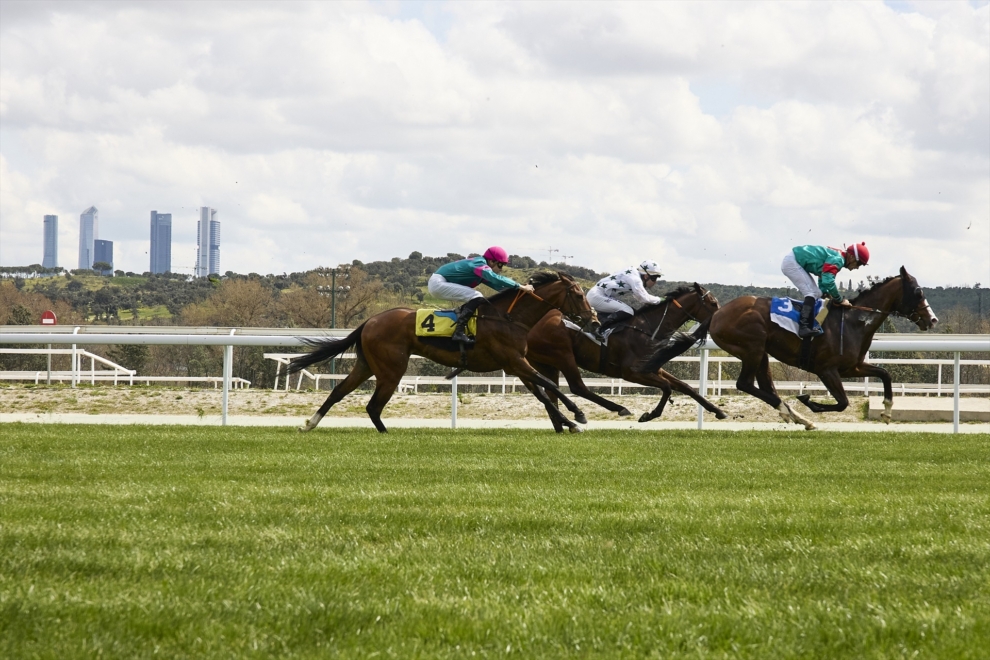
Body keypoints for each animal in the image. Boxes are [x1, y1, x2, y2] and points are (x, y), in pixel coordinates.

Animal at [286, 272, 596, 434]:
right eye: (579, 295)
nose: (593, 320)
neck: (509, 318)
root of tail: (370, 321)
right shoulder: (516, 362)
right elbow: (548, 386)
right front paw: (578, 415)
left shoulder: (517, 365)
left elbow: (543, 393)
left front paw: (568, 422)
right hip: (391, 370)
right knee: (373, 406)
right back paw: (385, 434)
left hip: (367, 365)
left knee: (339, 392)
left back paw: (310, 424)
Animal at [528, 284, 728, 422]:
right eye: (713, 303)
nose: (722, 316)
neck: (649, 328)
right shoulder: (631, 373)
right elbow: (667, 387)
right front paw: (650, 415)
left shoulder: (652, 368)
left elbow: (685, 387)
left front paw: (718, 411)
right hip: (563, 356)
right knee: (577, 387)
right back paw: (615, 409)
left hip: (545, 362)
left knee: (550, 389)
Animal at [712, 266, 936, 430]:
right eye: (918, 292)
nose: (932, 319)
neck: (854, 321)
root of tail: (718, 313)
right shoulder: (826, 369)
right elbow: (843, 402)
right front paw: (806, 399)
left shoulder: (851, 367)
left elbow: (884, 374)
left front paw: (887, 411)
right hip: (753, 349)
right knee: (744, 384)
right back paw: (791, 412)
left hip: (761, 354)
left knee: (766, 386)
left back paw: (795, 415)